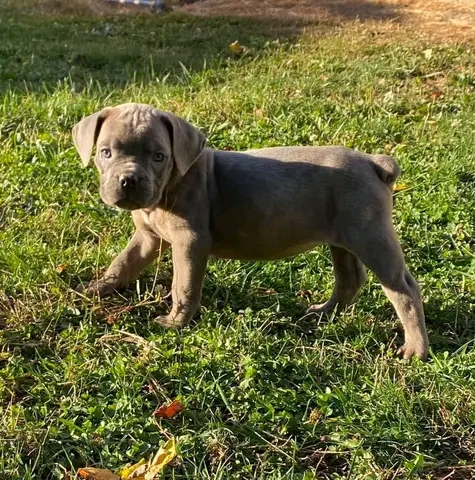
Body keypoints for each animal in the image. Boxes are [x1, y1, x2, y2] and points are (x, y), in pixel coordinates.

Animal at [72, 103, 429, 360]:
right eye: (106, 152)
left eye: (159, 156)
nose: (129, 181)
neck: (169, 189)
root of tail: (374, 163)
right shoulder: (148, 237)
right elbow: (123, 262)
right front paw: (95, 289)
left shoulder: (190, 241)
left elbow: (182, 284)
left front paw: (176, 323)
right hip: (343, 237)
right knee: (350, 279)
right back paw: (324, 314)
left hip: (371, 235)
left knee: (404, 289)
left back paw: (416, 350)